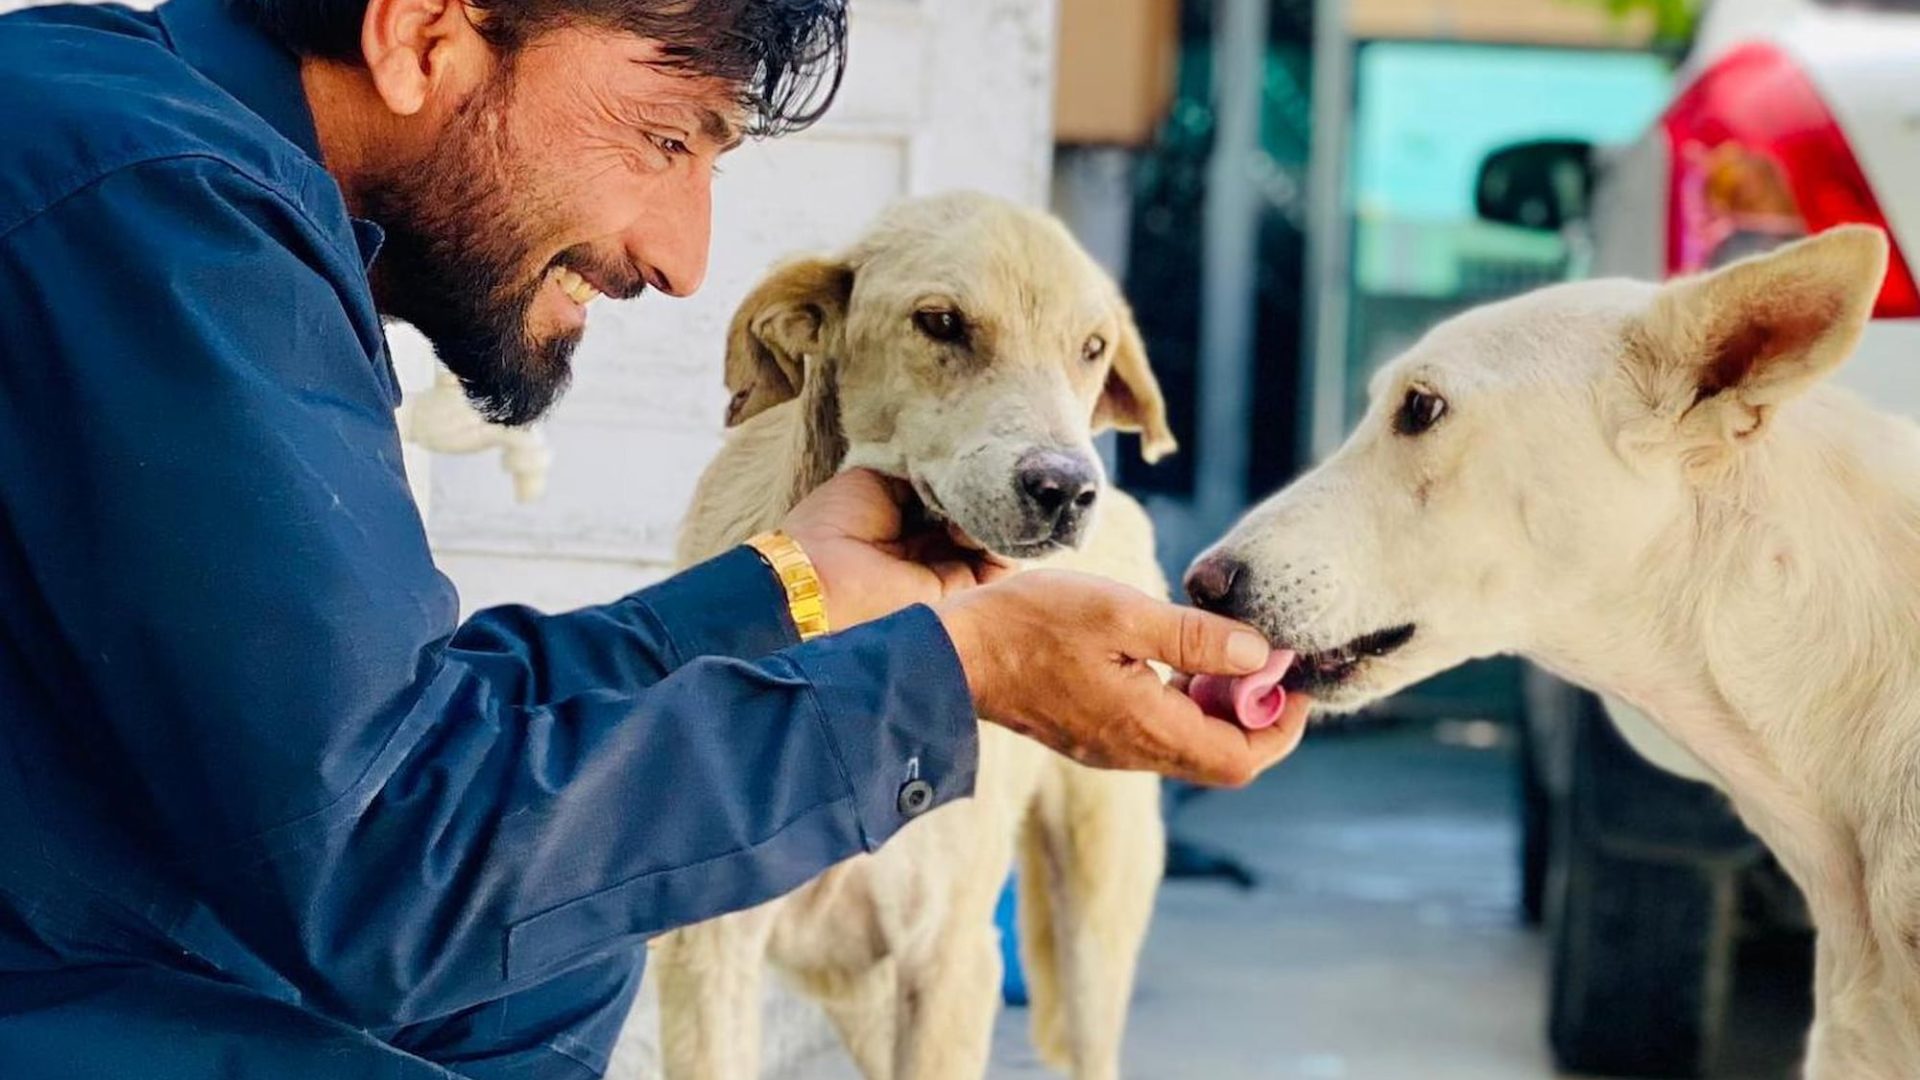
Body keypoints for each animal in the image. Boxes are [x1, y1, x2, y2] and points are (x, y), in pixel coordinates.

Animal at [652, 191, 1175, 1076]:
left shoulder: (950, 962)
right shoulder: (707, 951)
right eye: (941, 323)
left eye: (1093, 348)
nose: (1067, 489)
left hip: (1097, 907)